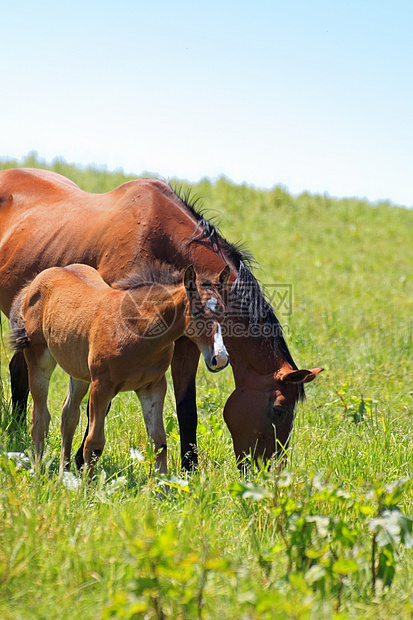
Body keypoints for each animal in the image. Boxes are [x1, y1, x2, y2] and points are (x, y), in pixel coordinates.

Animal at [0, 167, 322, 468]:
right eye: (279, 410)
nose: (268, 470)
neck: (162, 240)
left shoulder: (188, 347)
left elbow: (186, 410)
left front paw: (189, 472)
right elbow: (101, 409)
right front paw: (80, 461)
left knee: (20, 370)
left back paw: (17, 429)